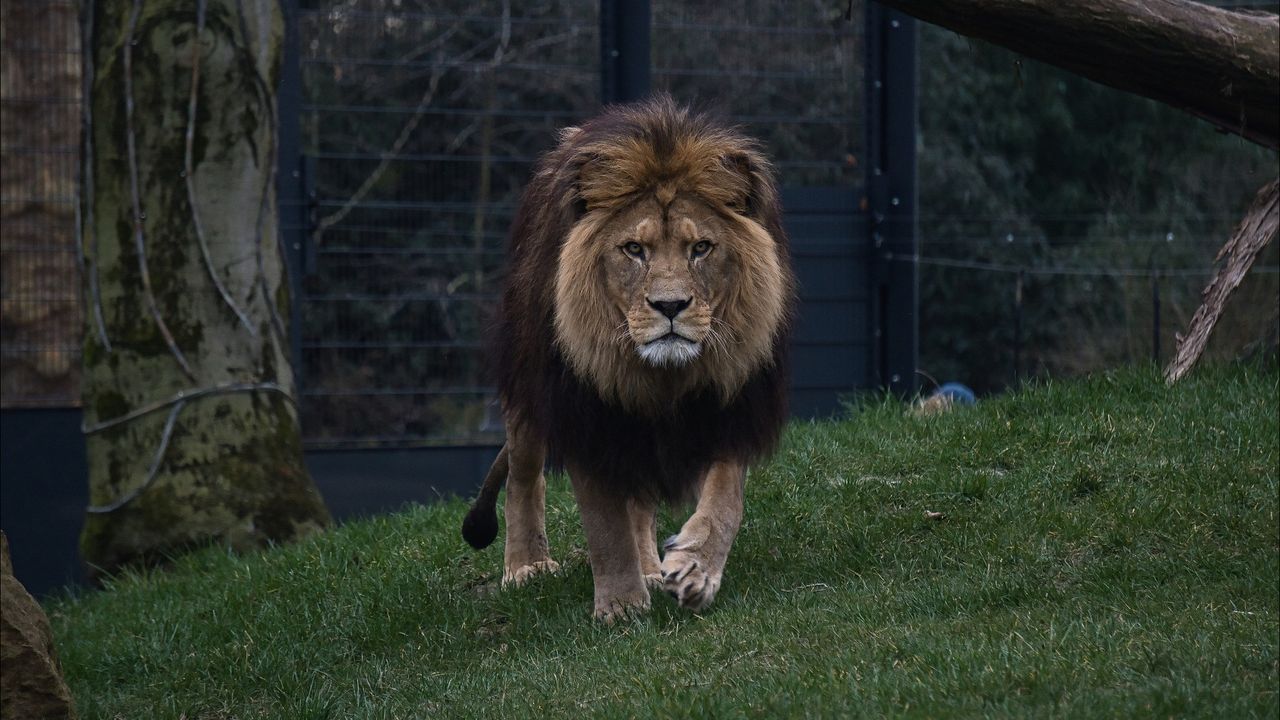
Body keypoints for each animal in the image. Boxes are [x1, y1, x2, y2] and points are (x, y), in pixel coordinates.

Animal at [460, 95, 793, 620]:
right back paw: (527, 566)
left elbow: (724, 502)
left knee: (639, 502)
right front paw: (620, 605)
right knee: (524, 475)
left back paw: (653, 569)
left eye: (701, 247)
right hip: (529, 382)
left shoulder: (732, 403)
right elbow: (604, 522)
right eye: (633, 249)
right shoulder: (587, 413)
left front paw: (695, 570)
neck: (662, 376)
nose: (670, 306)